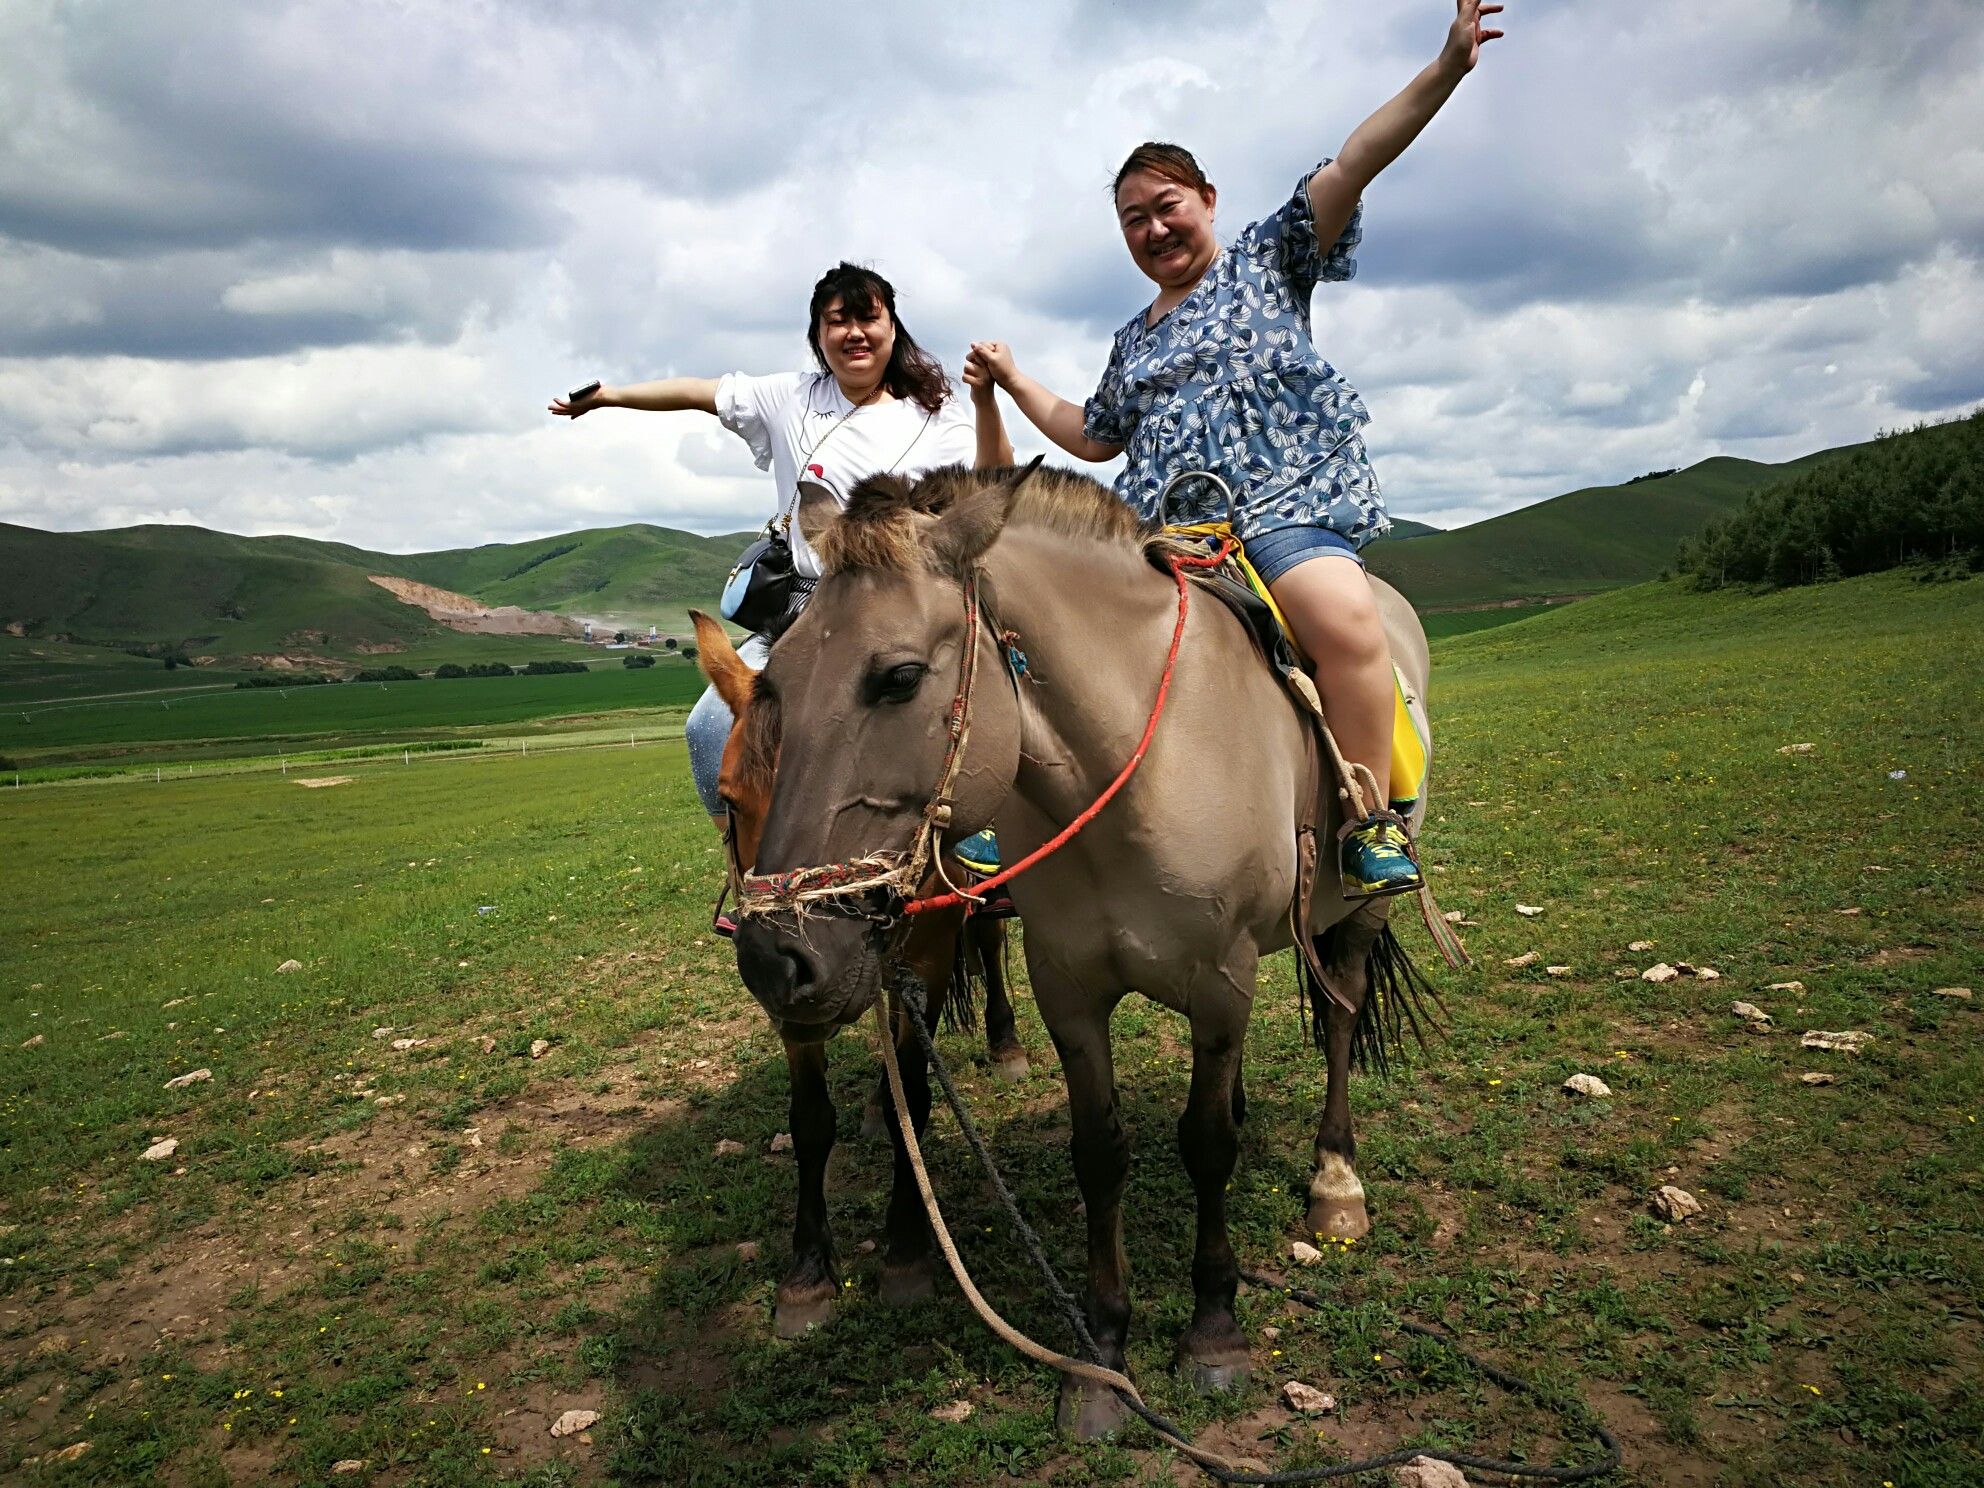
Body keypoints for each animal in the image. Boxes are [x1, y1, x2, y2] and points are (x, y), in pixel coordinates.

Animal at [694, 611, 1031, 1333]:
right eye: (730, 797)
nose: (780, 956)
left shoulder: (927, 962)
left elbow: (917, 1101)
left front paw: (905, 1250)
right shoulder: (794, 1008)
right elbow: (810, 1119)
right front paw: (807, 1272)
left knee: (988, 943)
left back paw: (1005, 1044)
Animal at [738, 464, 1436, 1436]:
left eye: (899, 677)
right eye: (776, 681)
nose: (776, 957)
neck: (1136, 770)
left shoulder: (1220, 981)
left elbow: (1206, 1144)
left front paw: (1213, 1334)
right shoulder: (1068, 989)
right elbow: (1098, 1154)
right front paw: (1103, 1357)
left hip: (1359, 914)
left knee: (1340, 1013)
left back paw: (1337, 1181)